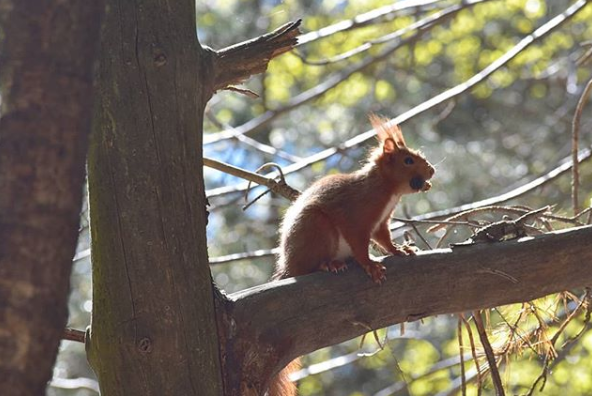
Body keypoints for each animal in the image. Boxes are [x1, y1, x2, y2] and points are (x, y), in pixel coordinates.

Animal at [268, 115, 434, 396]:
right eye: (408, 160)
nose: (432, 172)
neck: (386, 189)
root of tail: (288, 266)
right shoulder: (355, 218)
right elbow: (360, 244)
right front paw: (370, 265)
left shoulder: (380, 224)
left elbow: (384, 240)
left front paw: (401, 250)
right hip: (319, 228)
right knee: (311, 265)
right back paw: (329, 264)